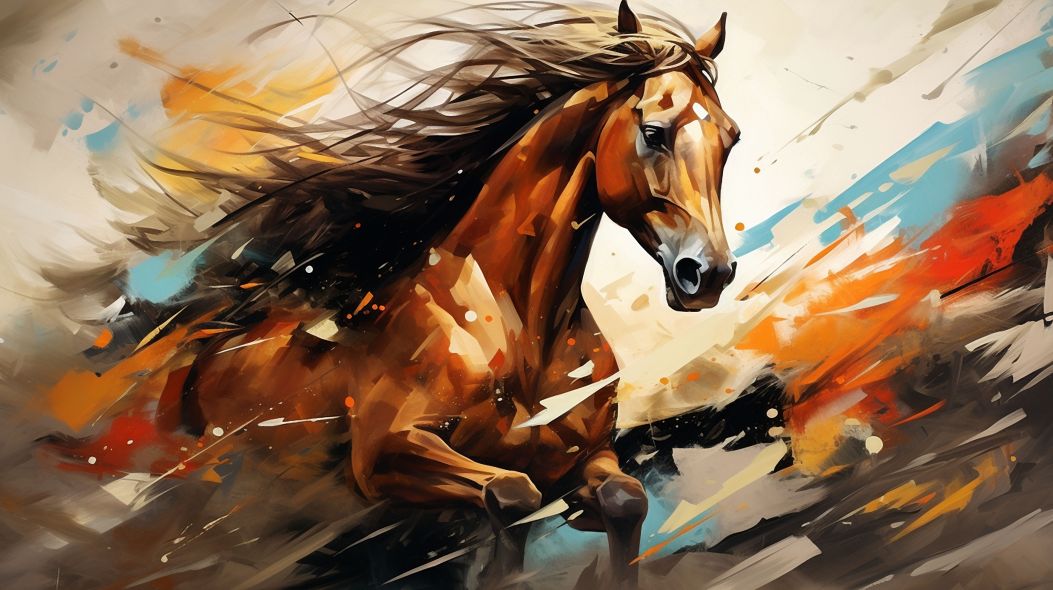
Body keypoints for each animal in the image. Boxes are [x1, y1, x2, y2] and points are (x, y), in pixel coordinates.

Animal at [163, 2, 739, 586]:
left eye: (731, 138)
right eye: (653, 132)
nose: (708, 273)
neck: (517, 330)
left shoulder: (579, 466)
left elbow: (624, 499)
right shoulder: (383, 458)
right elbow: (512, 495)